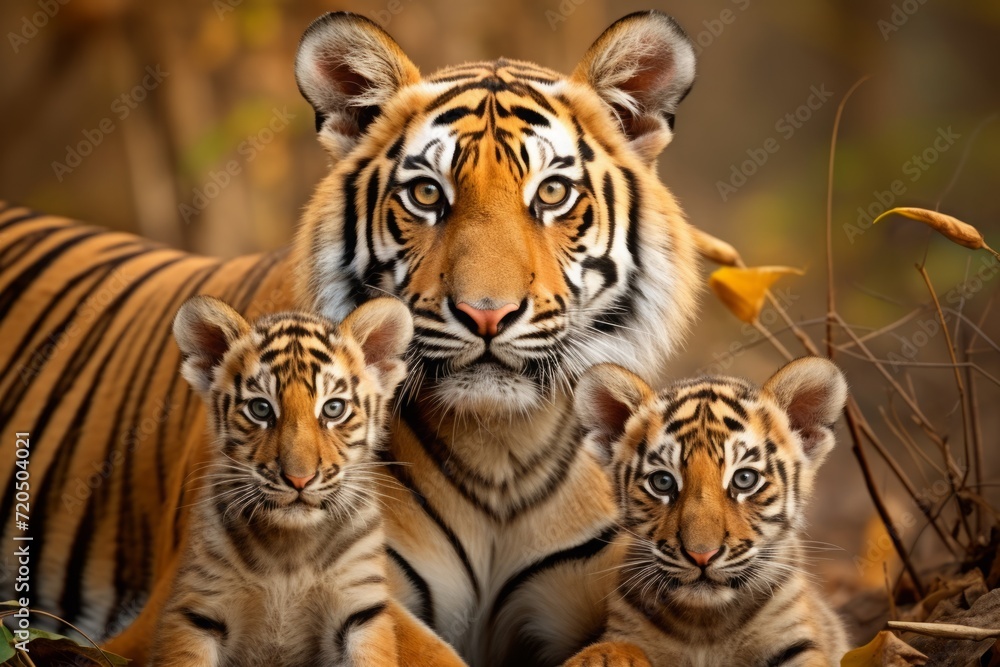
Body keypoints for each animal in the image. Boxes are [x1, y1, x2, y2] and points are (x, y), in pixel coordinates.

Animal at [153, 295, 464, 667]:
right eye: (260, 409)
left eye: (333, 409)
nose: (299, 479)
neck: (290, 552)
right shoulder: (198, 609)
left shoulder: (360, 607)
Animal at [563, 357, 850, 667]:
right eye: (662, 482)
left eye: (744, 479)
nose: (702, 555)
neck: (705, 622)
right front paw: (603, 657)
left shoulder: (794, 642)